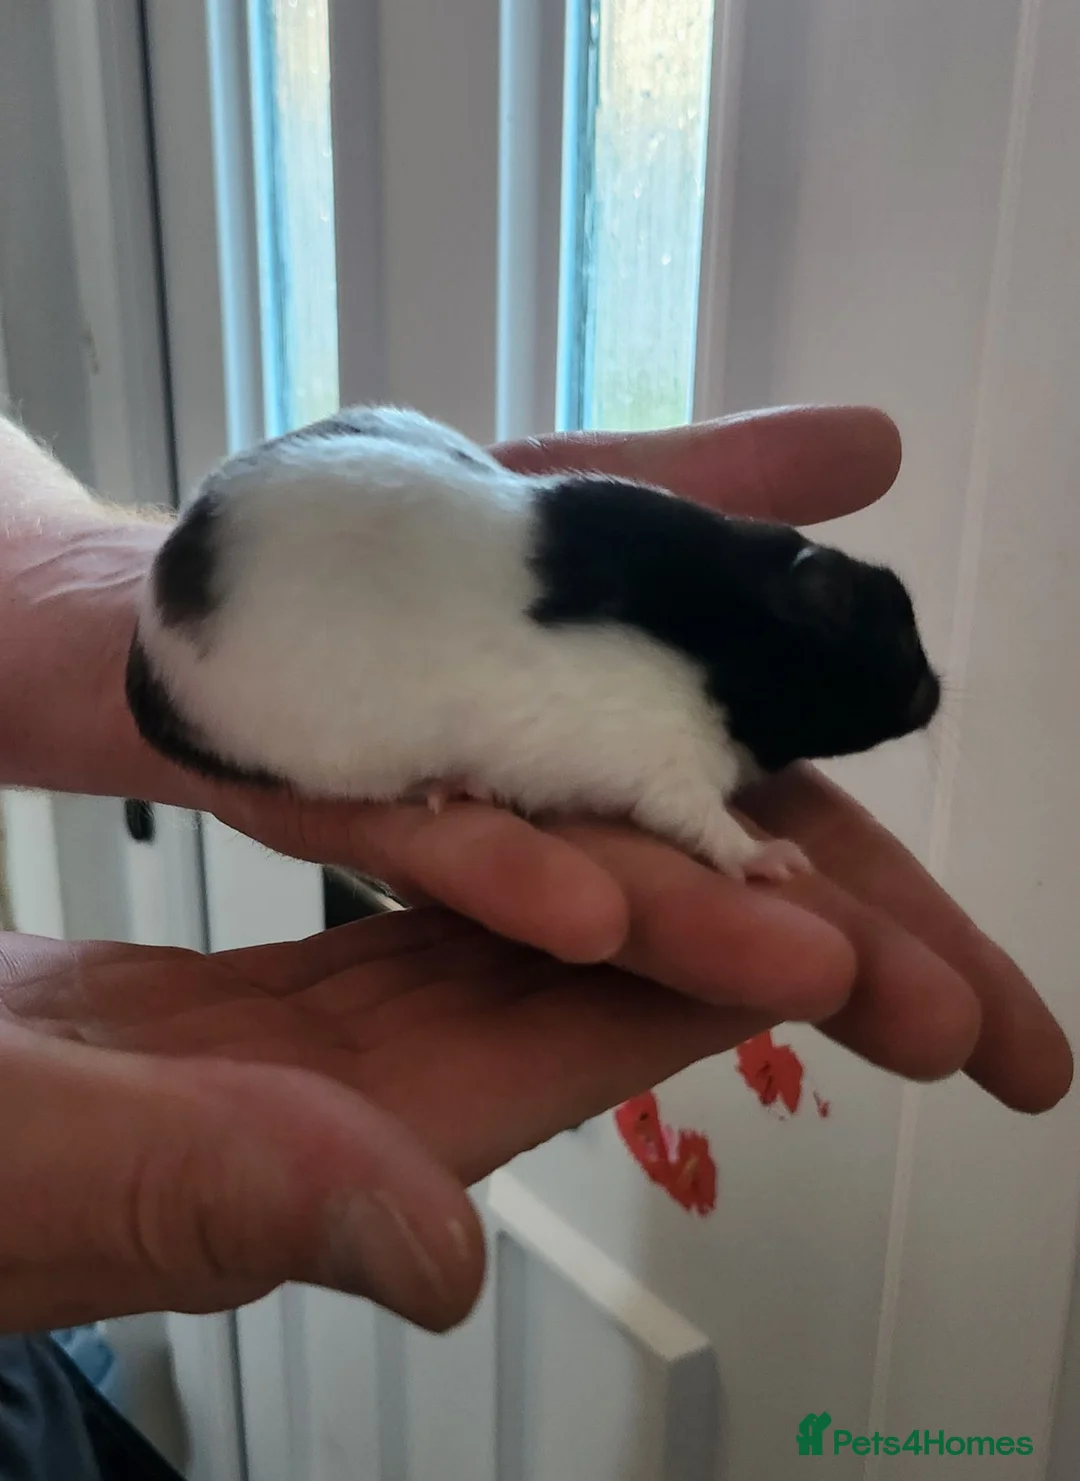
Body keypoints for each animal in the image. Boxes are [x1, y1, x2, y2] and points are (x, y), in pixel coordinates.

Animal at [125, 405, 941, 882]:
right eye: (898, 639)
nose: (936, 695)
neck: (732, 631)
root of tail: (154, 621)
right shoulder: (668, 766)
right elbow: (706, 826)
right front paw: (776, 860)